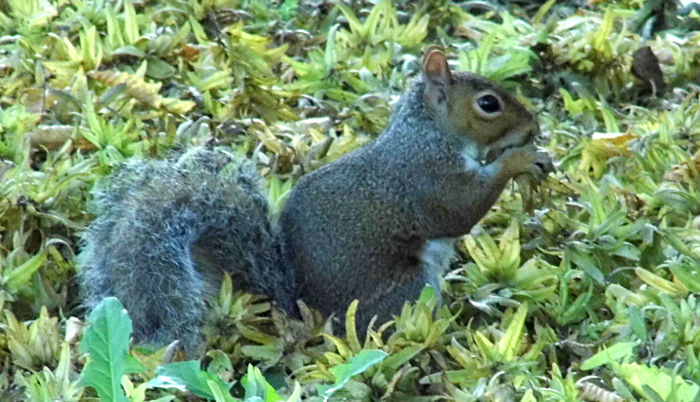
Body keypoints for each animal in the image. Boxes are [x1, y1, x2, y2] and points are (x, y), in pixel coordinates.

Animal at [78, 47, 552, 354]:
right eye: (488, 104)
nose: (533, 126)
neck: (428, 133)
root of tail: (307, 314)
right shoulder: (425, 178)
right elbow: (459, 210)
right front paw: (520, 160)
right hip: (409, 290)